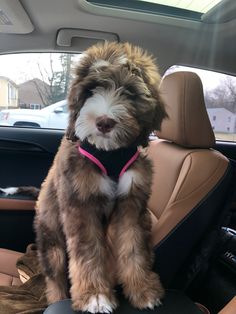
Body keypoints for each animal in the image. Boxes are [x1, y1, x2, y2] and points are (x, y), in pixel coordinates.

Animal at [1, 42, 167, 314]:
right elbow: (88, 251)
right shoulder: (80, 204)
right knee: (55, 277)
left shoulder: (132, 204)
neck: (110, 153)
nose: (104, 122)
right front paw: (95, 296)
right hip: (51, 238)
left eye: (129, 92)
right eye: (91, 90)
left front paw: (142, 289)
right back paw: (57, 299)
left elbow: (134, 247)